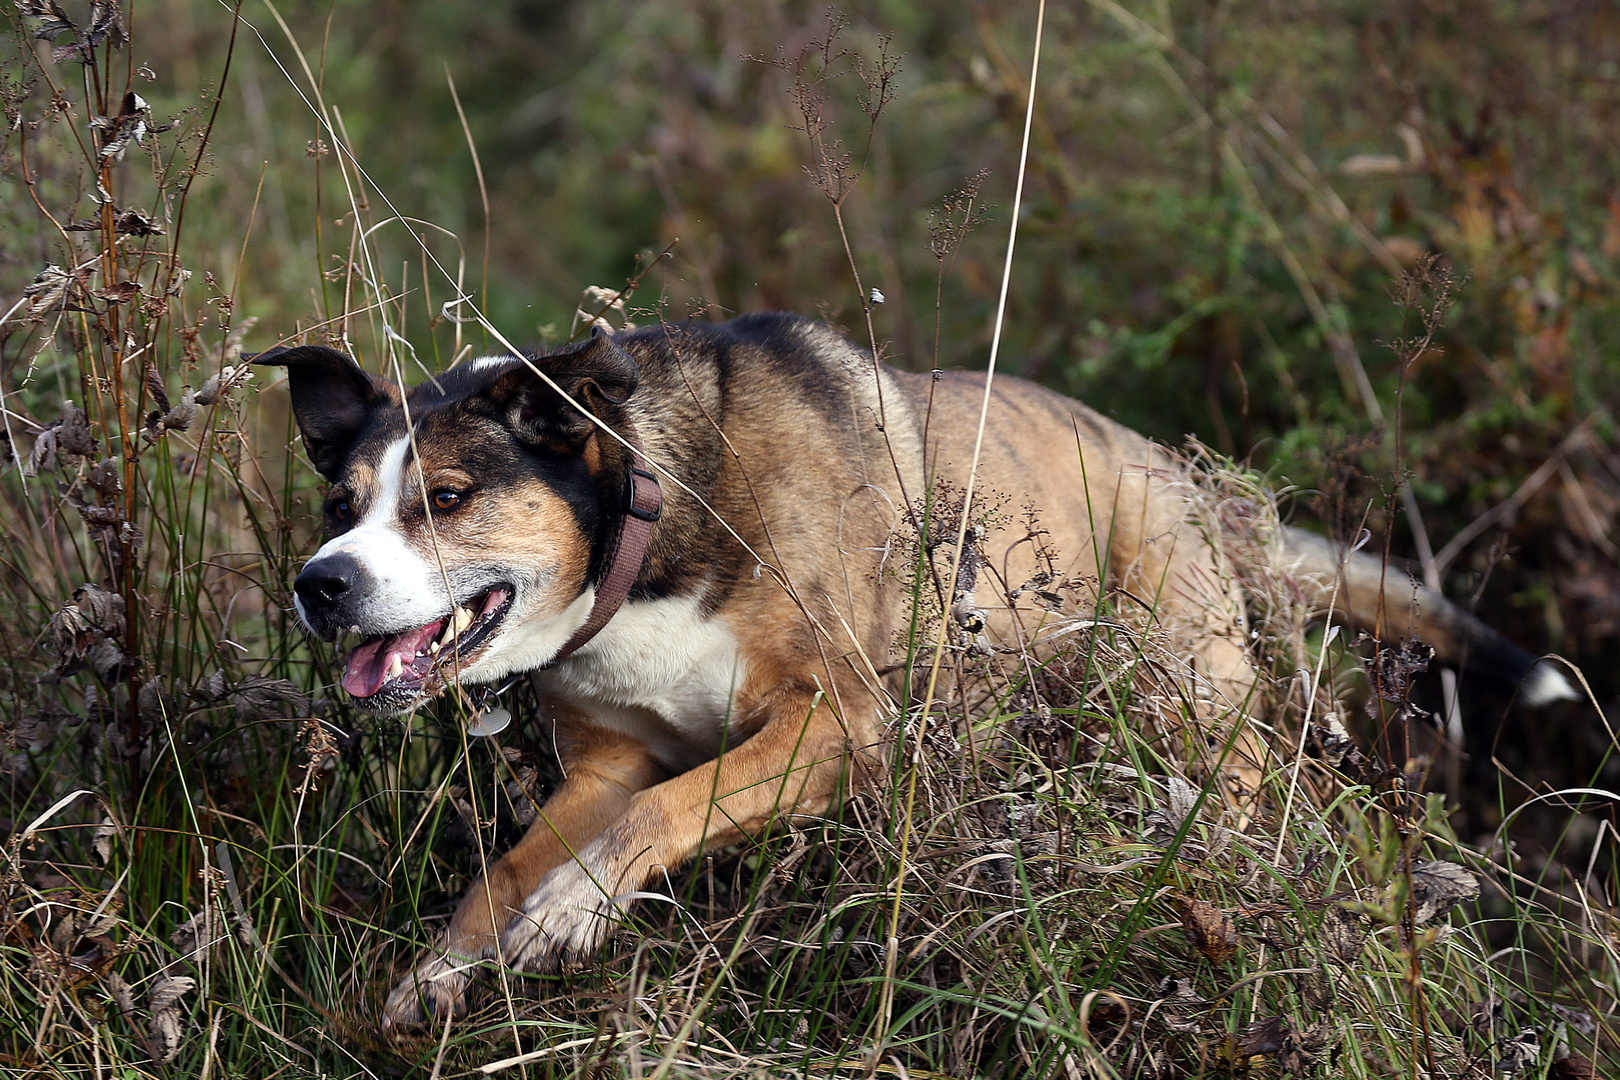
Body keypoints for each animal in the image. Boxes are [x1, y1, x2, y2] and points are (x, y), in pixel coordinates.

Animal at [249, 312, 1568, 1029]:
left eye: (446, 499)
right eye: (339, 503)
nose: (321, 583)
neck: (651, 522)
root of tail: (1172, 467)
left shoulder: (840, 725)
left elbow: (674, 808)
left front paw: (575, 906)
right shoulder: (603, 768)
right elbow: (505, 871)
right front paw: (439, 971)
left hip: (1180, 678)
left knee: (1242, 768)